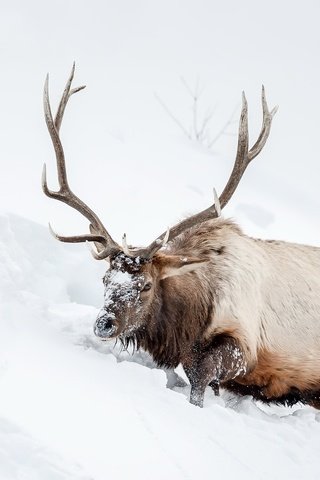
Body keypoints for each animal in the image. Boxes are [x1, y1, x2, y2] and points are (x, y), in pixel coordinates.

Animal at [42, 64, 320, 408]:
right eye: (105, 279)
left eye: (147, 285)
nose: (104, 323)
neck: (188, 323)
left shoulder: (245, 342)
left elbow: (201, 378)